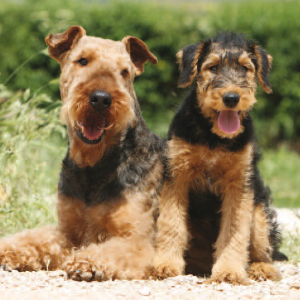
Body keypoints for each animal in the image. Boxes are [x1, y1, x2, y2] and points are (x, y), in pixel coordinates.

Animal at [0, 25, 164, 282]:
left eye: (124, 71)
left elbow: (109, 250)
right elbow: (31, 239)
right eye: (82, 60)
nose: (101, 99)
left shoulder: (138, 240)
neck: (93, 166)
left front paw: (86, 263)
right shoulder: (68, 232)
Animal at [154, 31, 288, 284]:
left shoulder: (239, 184)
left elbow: (234, 231)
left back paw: (261, 269)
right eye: (213, 67)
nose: (231, 97)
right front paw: (165, 264)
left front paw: (229, 271)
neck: (213, 137)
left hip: (260, 213)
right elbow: (171, 223)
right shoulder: (177, 175)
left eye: (245, 68)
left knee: (265, 250)